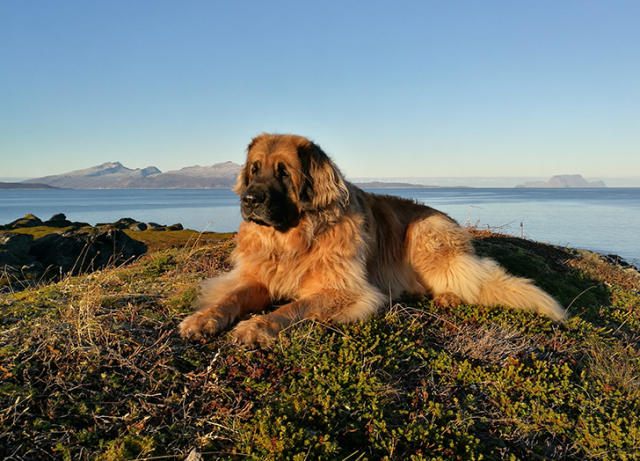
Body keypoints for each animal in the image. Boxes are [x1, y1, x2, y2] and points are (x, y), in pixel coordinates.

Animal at [180, 133, 564, 344]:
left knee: (472, 281)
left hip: (426, 238)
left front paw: (257, 326)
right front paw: (203, 318)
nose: (249, 200)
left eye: (284, 173)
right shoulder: (259, 277)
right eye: (254, 169)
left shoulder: (342, 290)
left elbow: (293, 307)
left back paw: (447, 297)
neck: (294, 239)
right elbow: (231, 297)